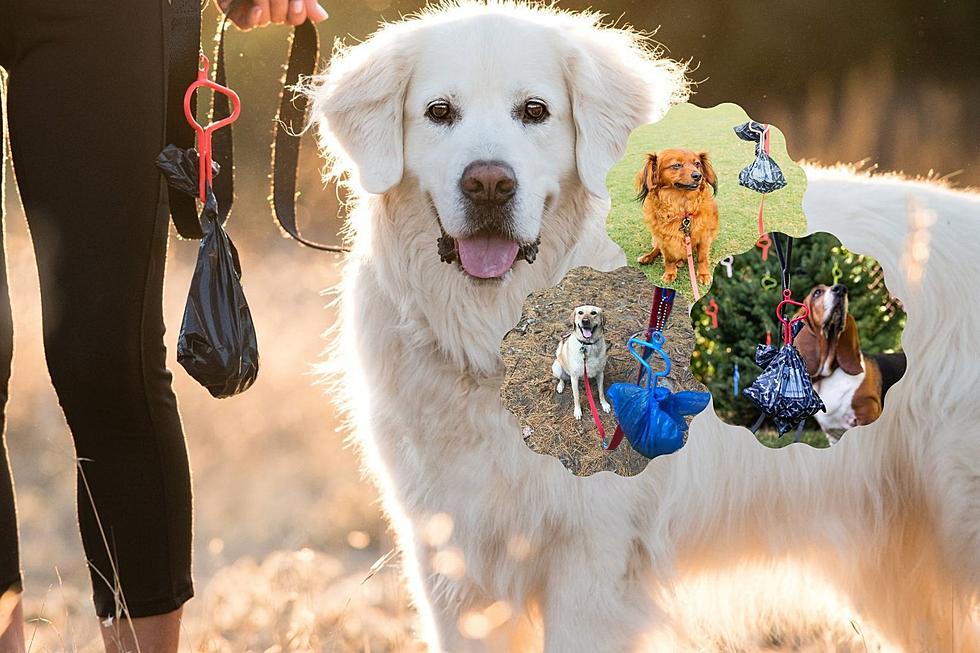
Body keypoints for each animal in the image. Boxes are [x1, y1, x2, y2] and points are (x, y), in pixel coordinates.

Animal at [308, 2, 980, 648]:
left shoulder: (591, 555)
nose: (489, 183)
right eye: (439, 112)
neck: (493, 333)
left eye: (534, 111)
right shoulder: (452, 561)